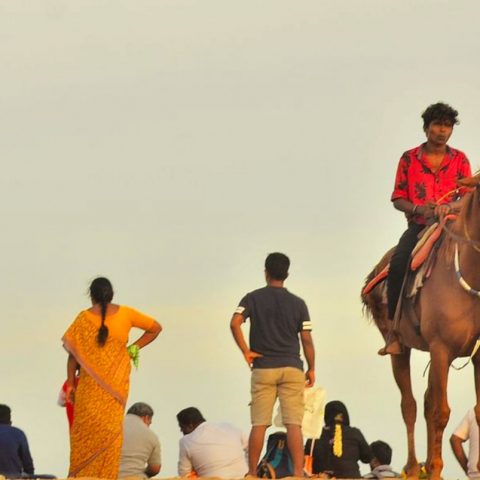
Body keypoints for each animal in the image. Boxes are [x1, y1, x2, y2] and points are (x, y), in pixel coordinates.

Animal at [362, 177, 480, 480]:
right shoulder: (441, 349)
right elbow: (439, 412)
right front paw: (435, 468)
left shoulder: (478, 356)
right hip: (399, 347)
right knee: (410, 405)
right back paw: (415, 467)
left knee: (424, 402)